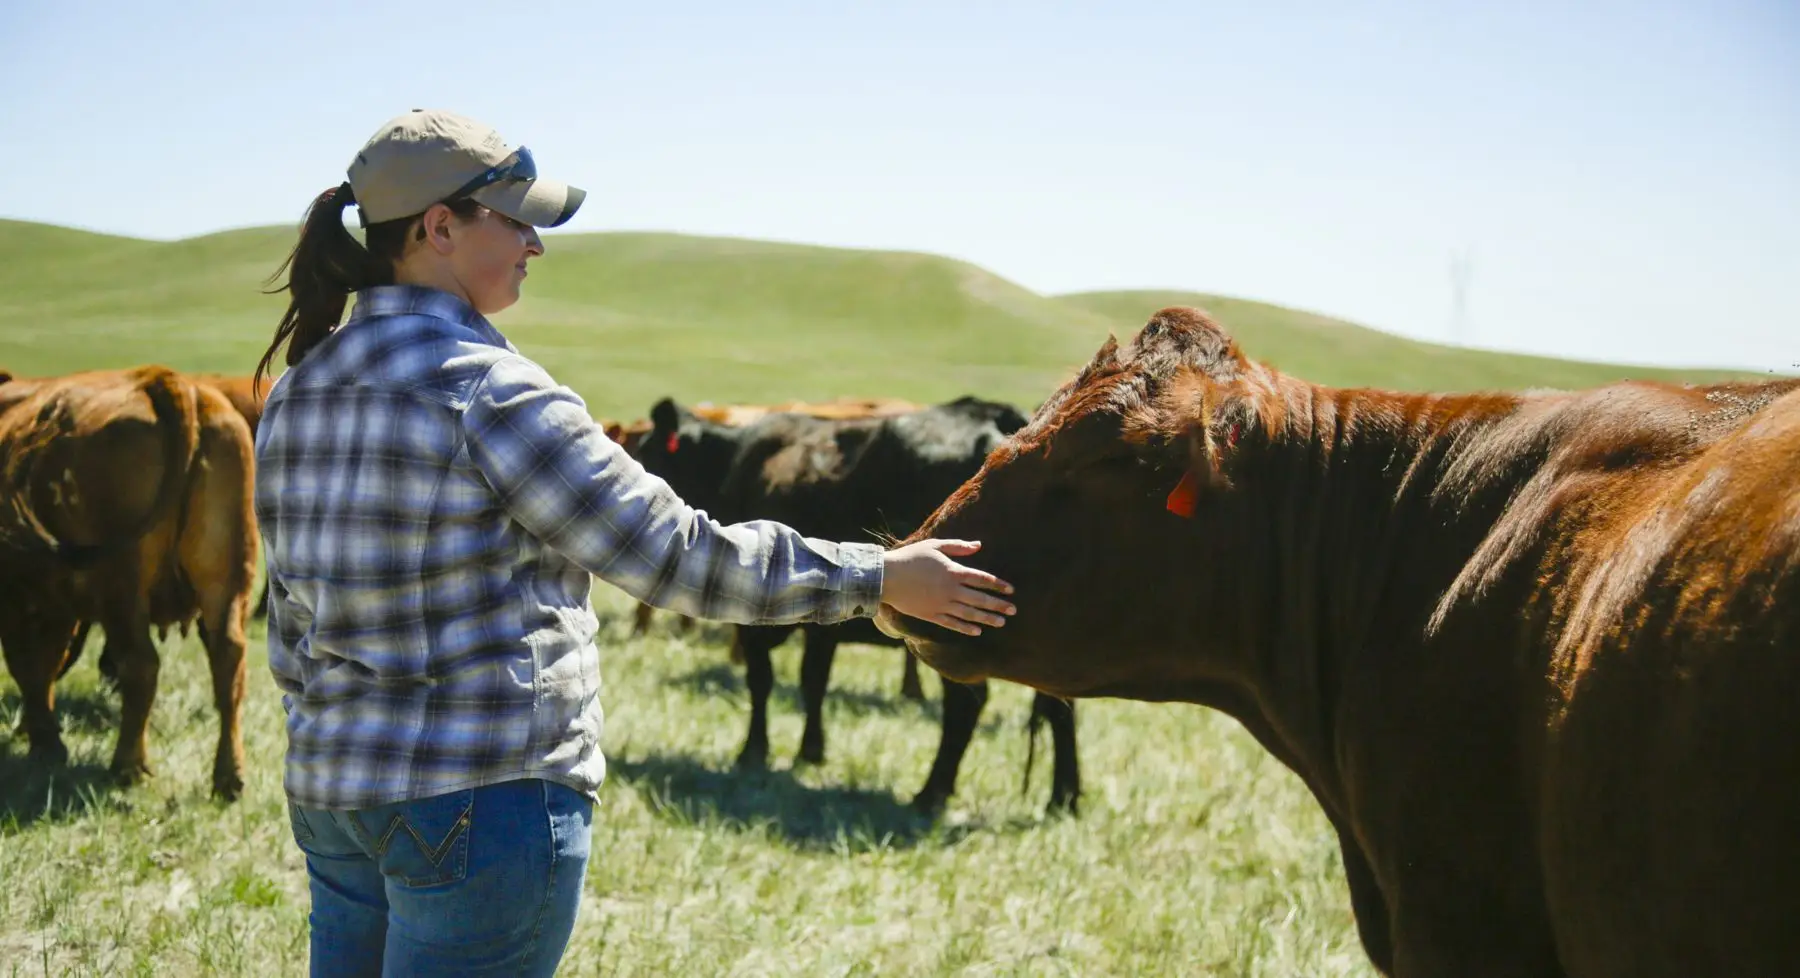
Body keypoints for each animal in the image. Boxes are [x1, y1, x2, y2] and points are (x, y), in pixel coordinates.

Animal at [1, 366, 258, 799]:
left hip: (121, 588)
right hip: (226, 579)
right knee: (229, 661)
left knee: (140, 665)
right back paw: (229, 776)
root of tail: (169, 382)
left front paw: (45, 744)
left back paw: (127, 766)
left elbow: (30, 667)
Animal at [639, 394, 1081, 814]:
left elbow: (761, 680)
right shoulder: (821, 623)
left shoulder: (753, 624)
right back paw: (1064, 796)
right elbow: (813, 679)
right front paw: (811, 751)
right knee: (1059, 706)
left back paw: (932, 794)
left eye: (648, 451)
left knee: (966, 703)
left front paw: (753, 752)